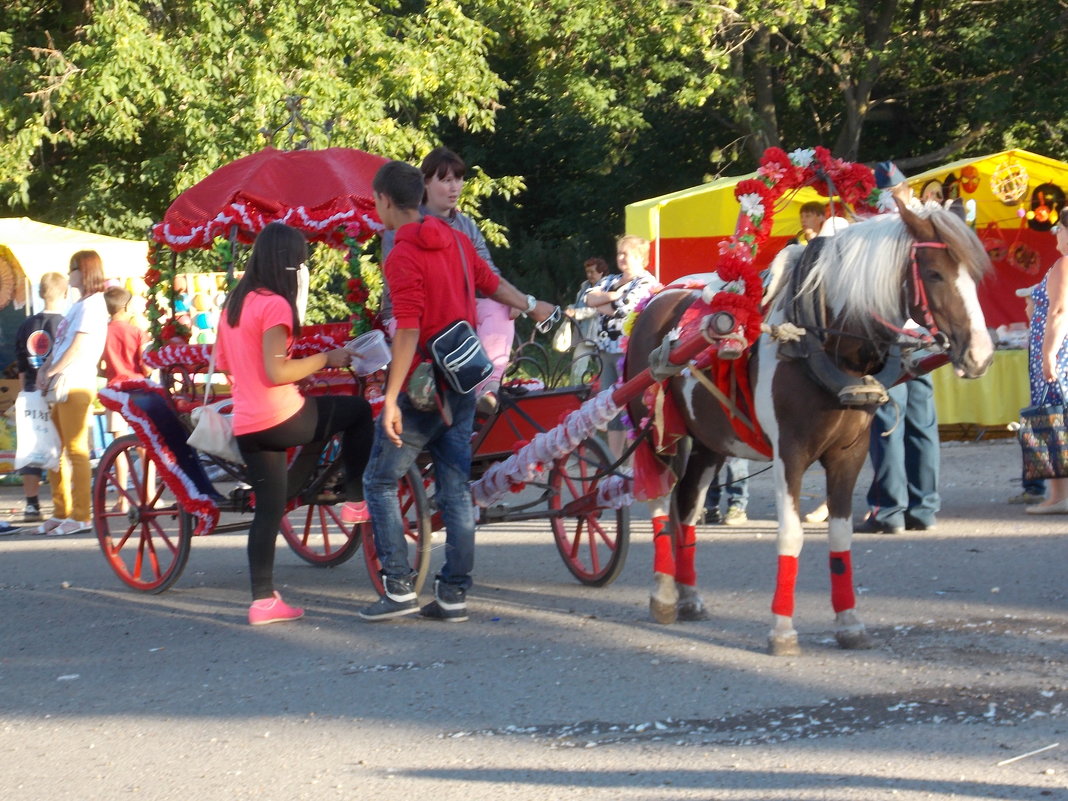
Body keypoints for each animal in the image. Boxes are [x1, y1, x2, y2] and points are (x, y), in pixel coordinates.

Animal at [623, 199, 995, 657]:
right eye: (935, 273)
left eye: (974, 275)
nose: (981, 354)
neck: (822, 339)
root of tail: (659, 299)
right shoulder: (791, 454)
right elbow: (791, 536)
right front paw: (782, 629)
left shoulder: (849, 454)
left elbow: (840, 536)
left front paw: (849, 622)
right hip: (659, 431)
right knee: (661, 502)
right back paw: (663, 593)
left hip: (712, 440)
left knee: (688, 504)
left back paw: (689, 595)